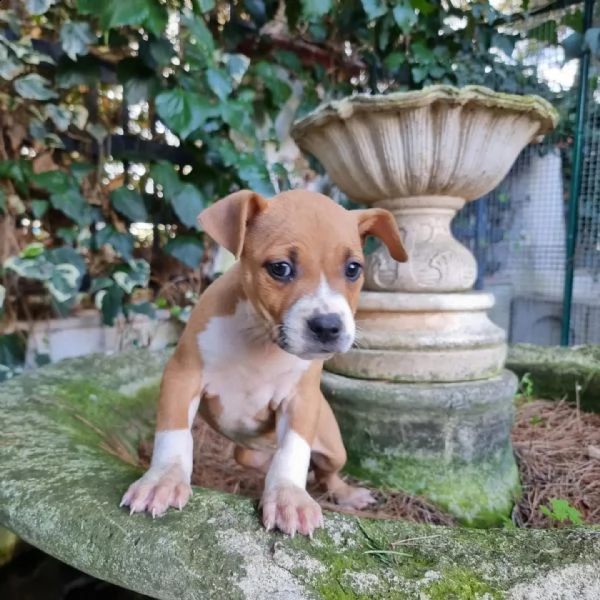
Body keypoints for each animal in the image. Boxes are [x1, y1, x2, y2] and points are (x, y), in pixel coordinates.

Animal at [119, 190, 406, 536]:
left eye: (353, 268)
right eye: (280, 268)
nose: (328, 326)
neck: (259, 338)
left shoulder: (301, 400)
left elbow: (293, 450)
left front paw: (288, 497)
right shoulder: (182, 376)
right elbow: (173, 434)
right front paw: (163, 479)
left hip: (335, 447)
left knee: (326, 472)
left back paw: (345, 493)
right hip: (247, 451)